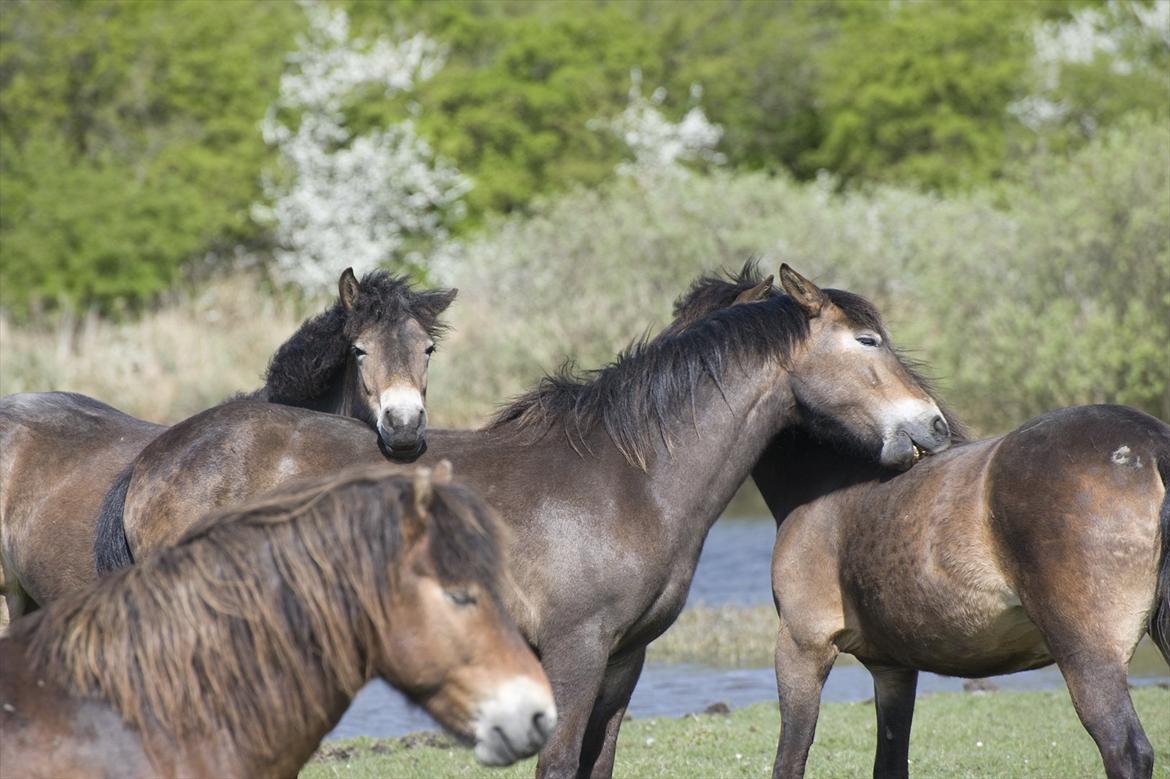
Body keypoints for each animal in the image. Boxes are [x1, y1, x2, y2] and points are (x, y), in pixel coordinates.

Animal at [91, 264, 950, 771]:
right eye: (868, 338)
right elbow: (559, 762)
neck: (627, 473)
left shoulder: (623, 659)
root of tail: (157, 455)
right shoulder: (571, 653)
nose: (936, 426)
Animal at [664, 264, 1165, 776]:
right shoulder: (894, 669)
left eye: (869, 340)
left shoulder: (802, 647)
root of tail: (1149, 444)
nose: (934, 425)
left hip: (1086, 655)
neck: (834, 481)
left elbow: (790, 759)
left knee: (1125, 749)